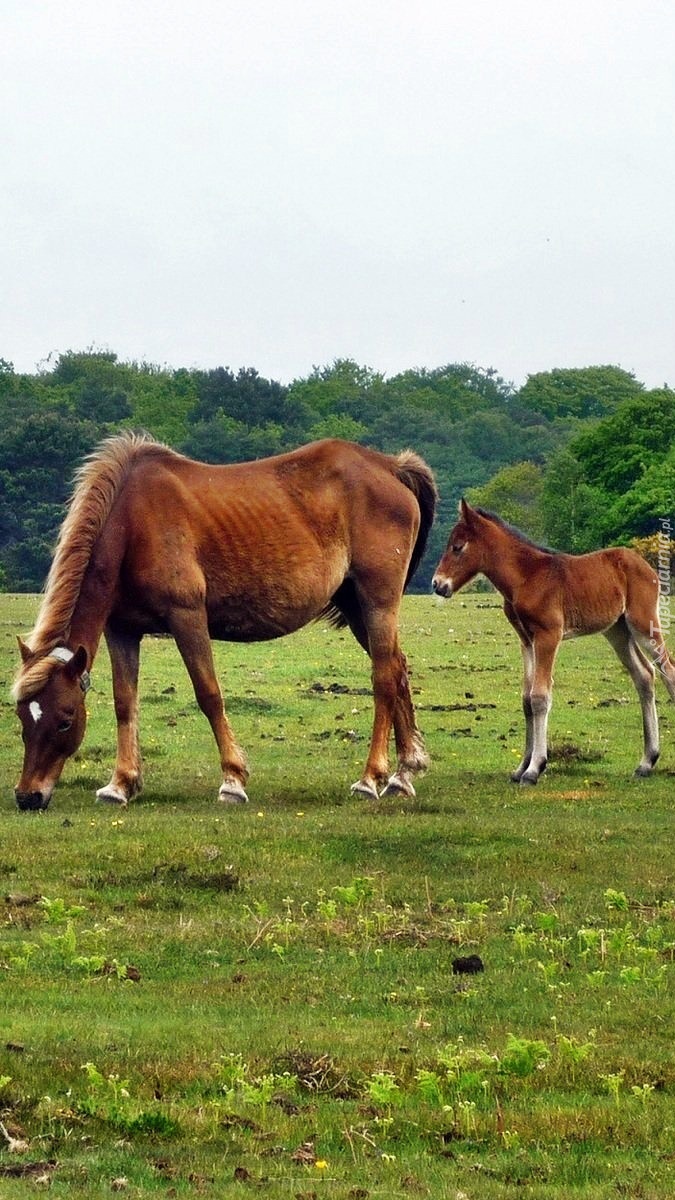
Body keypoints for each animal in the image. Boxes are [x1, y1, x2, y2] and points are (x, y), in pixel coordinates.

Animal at [11, 432, 437, 806]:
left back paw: (371, 777)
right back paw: (403, 774)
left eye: (65, 720)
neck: (132, 523)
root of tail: (391, 467)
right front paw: (121, 783)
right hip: (356, 608)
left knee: (384, 678)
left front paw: (232, 779)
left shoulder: (187, 618)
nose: (28, 797)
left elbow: (209, 694)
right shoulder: (122, 631)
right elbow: (124, 703)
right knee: (397, 668)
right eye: (22, 718)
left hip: (377, 603)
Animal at [429, 501, 672, 782]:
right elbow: (526, 698)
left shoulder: (548, 635)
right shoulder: (526, 640)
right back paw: (646, 762)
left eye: (458, 547)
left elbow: (540, 696)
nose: (437, 584)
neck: (526, 577)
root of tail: (644, 564)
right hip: (617, 631)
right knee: (644, 675)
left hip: (643, 623)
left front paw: (535, 768)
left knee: (667, 669)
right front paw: (521, 767)